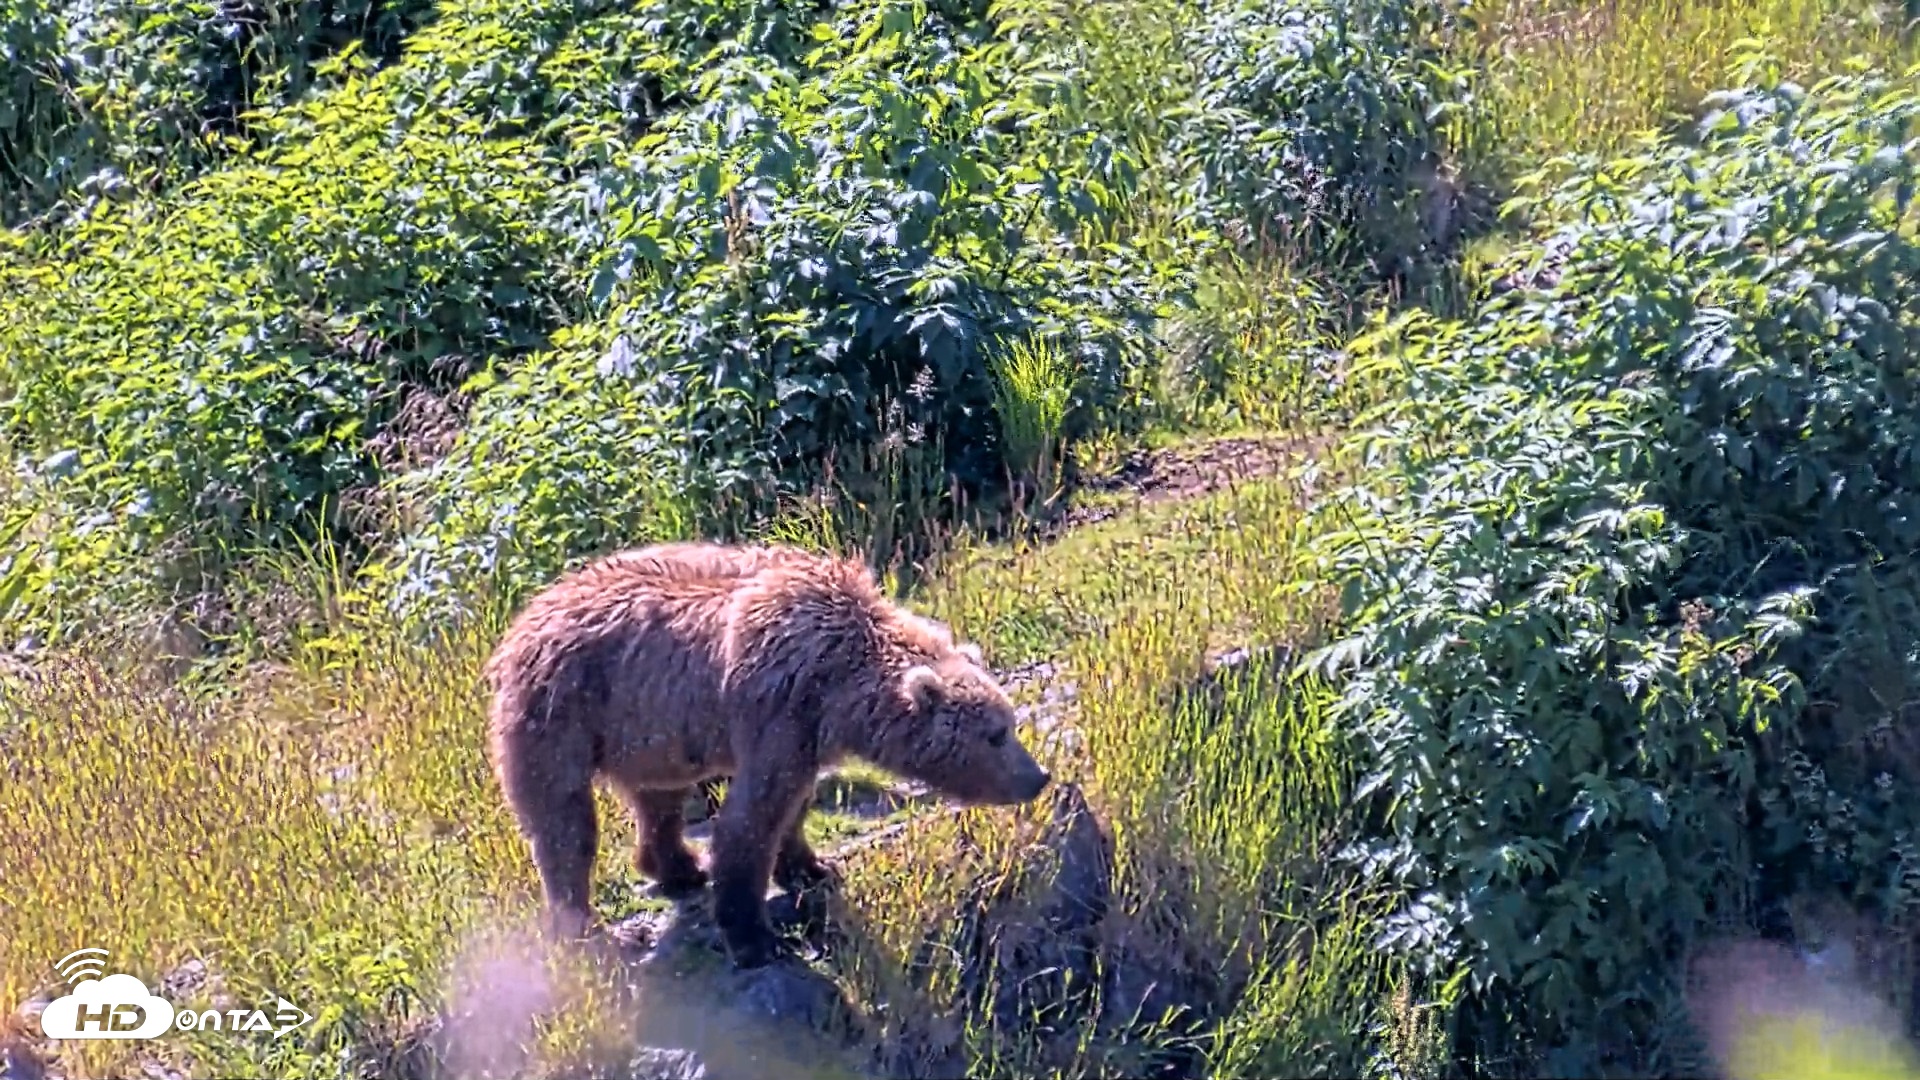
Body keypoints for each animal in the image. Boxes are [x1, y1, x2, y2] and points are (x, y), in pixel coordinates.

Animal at [483, 542, 1051, 969]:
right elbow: (753, 817)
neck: (840, 678)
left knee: (658, 797)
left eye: (1008, 723)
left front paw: (812, 868)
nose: (1037, 777)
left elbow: (793, 804)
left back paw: (678, 867)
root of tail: (517, 626)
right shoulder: (775, 707)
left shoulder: (806, 730)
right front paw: (753, 935)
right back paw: (590, 928)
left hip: (646, 728)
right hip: (560, 713)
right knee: (564, 822)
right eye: (996, 734)